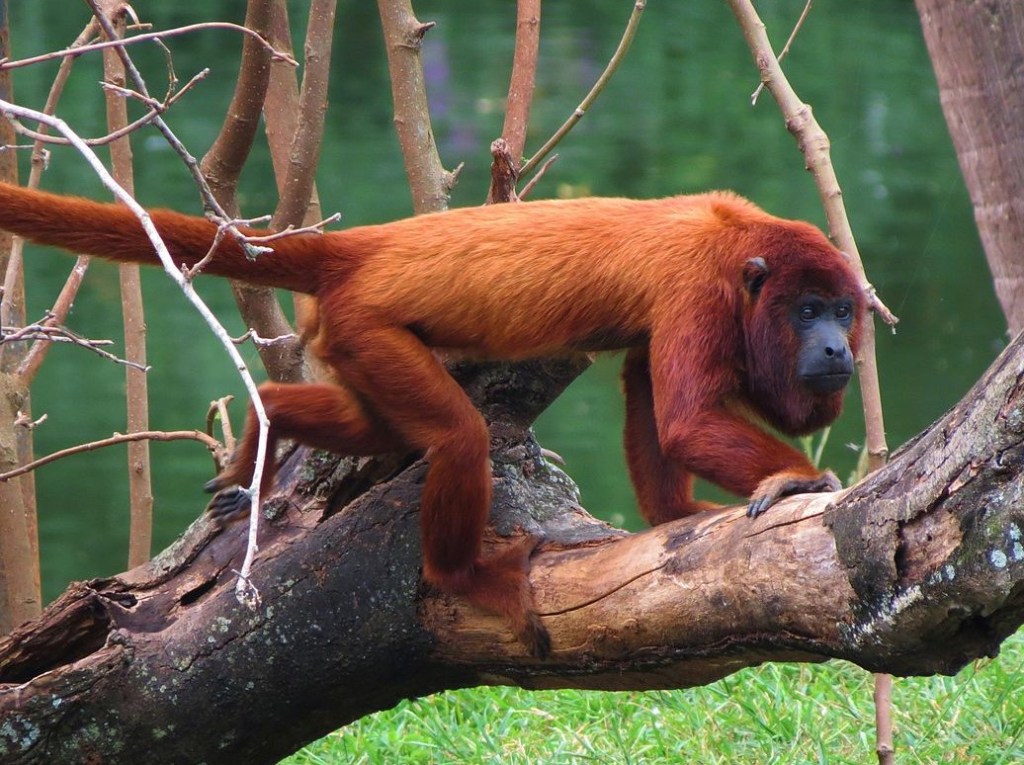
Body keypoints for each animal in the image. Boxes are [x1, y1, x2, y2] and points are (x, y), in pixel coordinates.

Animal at [0, 182, 865, 657]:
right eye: (808, 310)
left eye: (844, 309)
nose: (837, 346)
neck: (740, 250)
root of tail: (357, 251)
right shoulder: (698, 290)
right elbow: (684, 417)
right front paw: (797, 478)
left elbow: (649, 394)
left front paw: (674, 514)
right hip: (367, 327)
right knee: (457, 438)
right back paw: (465, 575)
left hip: (348, 342)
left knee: (373, 430)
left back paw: (266, 422)